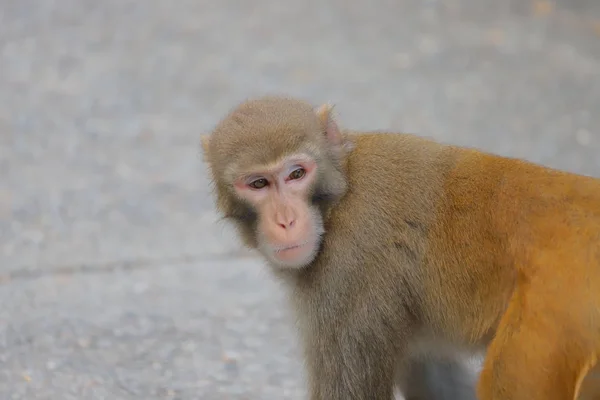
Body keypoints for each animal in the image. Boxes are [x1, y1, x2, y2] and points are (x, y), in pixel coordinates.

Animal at [200, 95, 600, 398]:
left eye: (297, 174)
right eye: (258, 184)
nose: (286, 220)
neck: (339, 197)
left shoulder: (347, 272)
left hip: (550, 326)